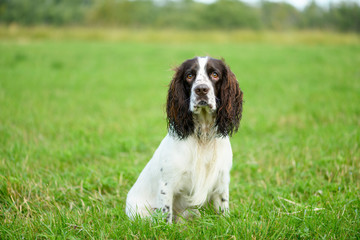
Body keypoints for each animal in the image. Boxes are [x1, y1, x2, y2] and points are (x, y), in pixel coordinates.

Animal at [125, 56, 243, 223]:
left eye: (215, 74)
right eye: (189, 75)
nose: (201, 89)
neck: (203, 137)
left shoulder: (221, 180)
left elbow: (223, 209)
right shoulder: (167, 184)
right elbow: (166, 214)